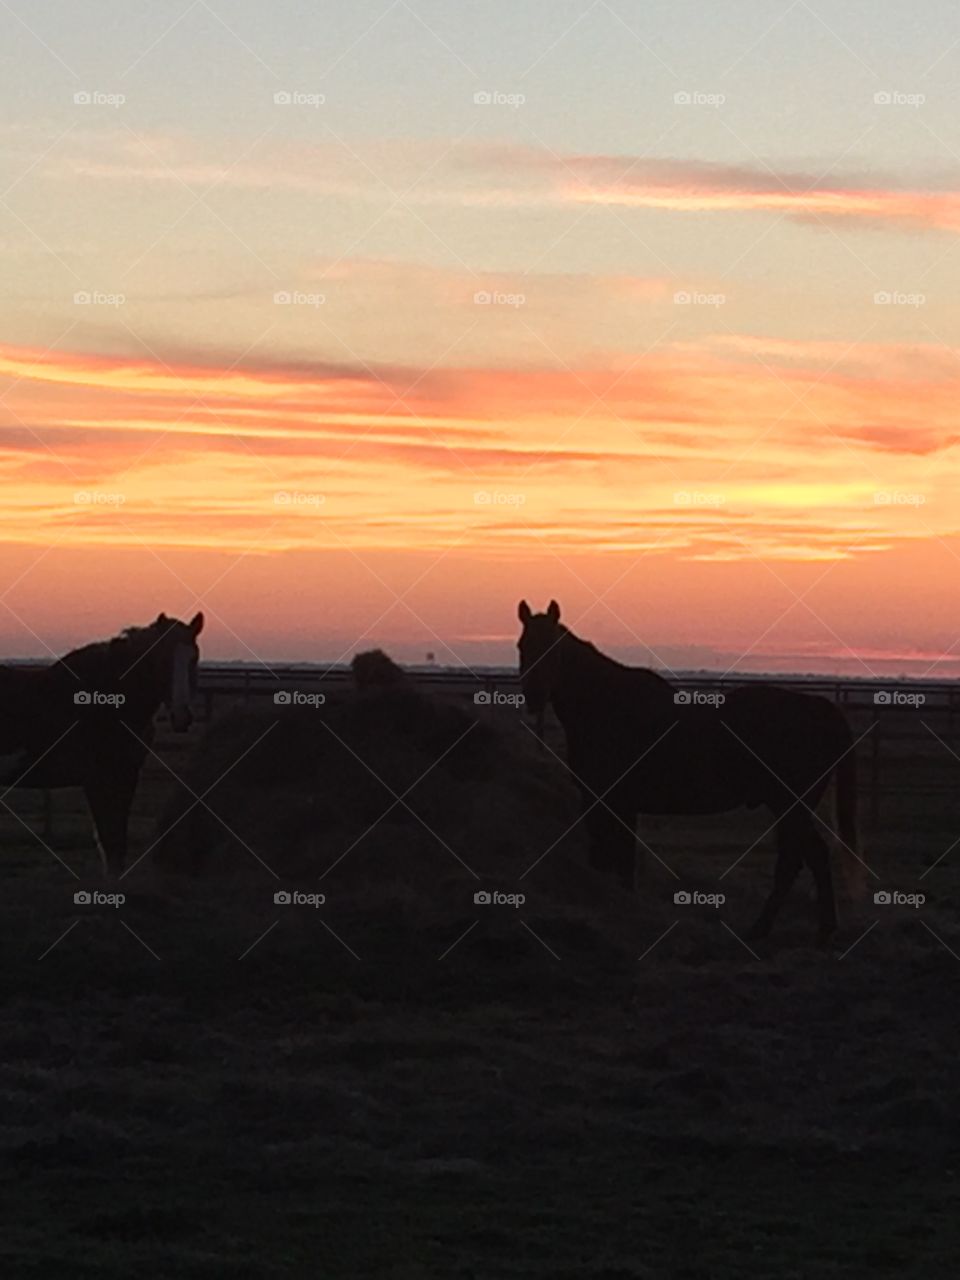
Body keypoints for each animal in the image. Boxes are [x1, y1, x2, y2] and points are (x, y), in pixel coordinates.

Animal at [0, 611, 203, 875]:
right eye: (162, 660)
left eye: (193, 658)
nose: (182, 716)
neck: (106, 700)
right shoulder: (97, 780)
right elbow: (110, 844)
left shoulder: (126, 777)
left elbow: (117, 849)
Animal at [519, 596, 865, 942]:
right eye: (523, 645)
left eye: (553, 649)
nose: (533, 697)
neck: (607, 707)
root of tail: (820, 707)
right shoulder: (616, 804)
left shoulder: (610, 802)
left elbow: (616, 860)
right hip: (791, 808)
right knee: (810, 857)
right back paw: (817, 929)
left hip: (790, 805)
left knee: (799, 859)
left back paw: (767, 928)